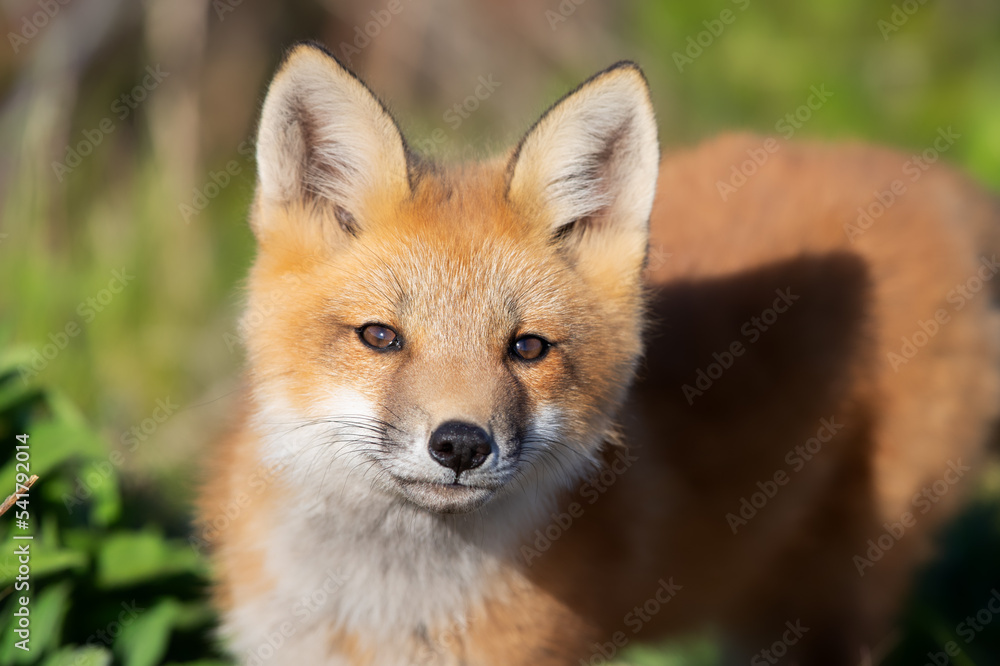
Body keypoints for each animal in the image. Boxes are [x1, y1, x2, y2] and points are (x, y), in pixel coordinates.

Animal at [199, 41, 1000, 665]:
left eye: (527, 348)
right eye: (380, 337)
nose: (461, 445)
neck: (383, 608)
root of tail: (919, 172)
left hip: (828, 602)